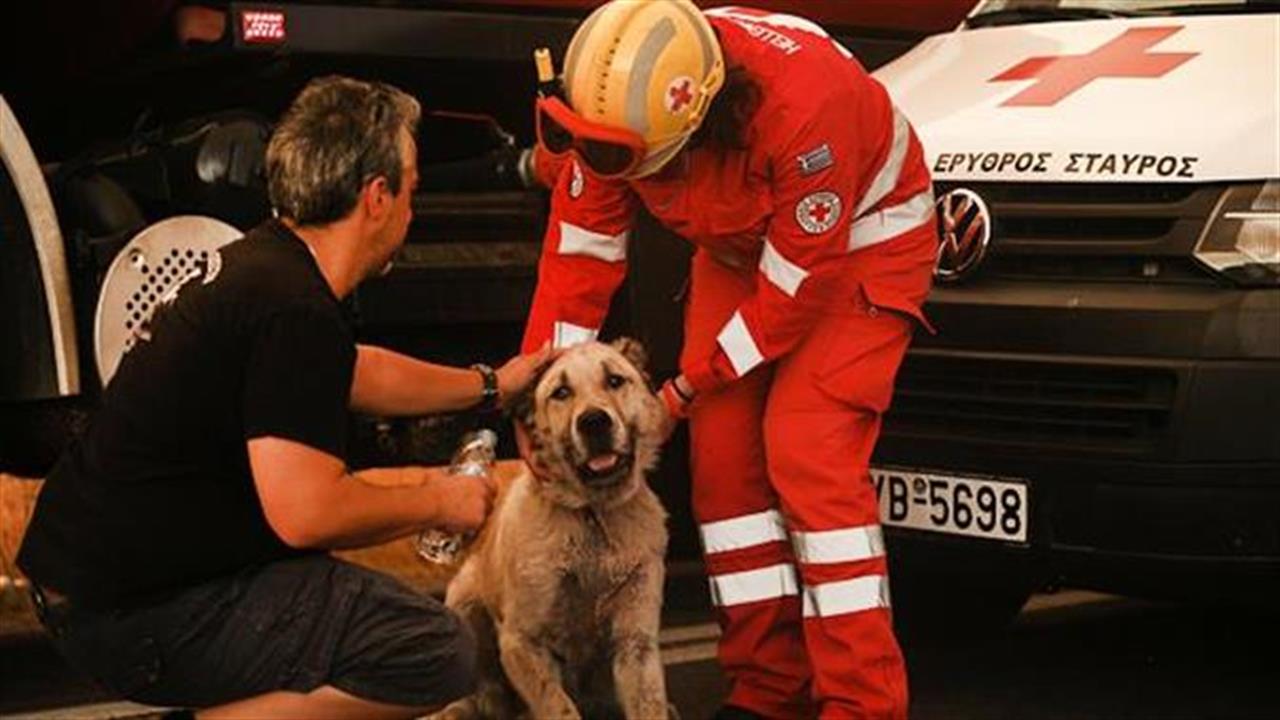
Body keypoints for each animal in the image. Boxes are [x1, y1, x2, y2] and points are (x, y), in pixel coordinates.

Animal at [437, 338, 670, 717]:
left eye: (615, 380)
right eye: (561, 392)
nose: (594, 422)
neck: (592, 516)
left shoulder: (636, 642)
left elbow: (649, 704)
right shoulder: (521, 643)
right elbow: (558, 705)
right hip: (464, 601)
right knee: (482, 693)